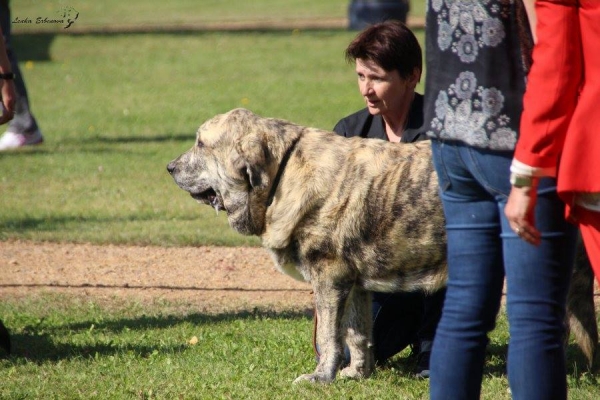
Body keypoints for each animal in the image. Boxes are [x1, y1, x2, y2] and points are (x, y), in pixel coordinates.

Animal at [166, 108, 596, 382]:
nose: (169, 167)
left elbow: (328, 336)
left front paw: (321, 377)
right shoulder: (353, 283)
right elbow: (356, 333)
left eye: (201, 144)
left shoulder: (329, 277)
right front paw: (356, 374)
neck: (282, 176)